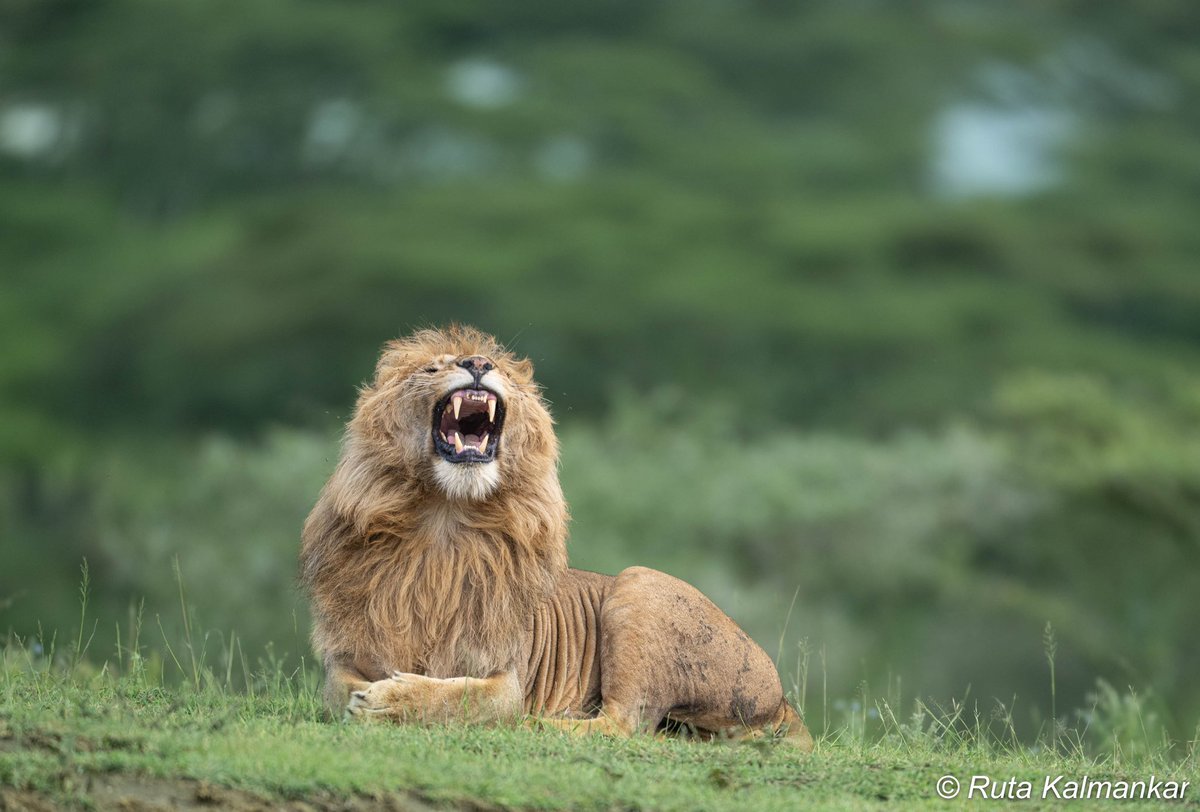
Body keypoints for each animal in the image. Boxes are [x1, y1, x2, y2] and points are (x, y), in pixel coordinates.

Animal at [296, 323, 811, 748]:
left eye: (500, 368)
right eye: (431, 367)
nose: (478, 363)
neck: (447, 519)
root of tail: (783, 700)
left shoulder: (507, 674)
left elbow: (464, 699)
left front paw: (388, 702)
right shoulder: (346, 655)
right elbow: (339, 690)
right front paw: (372, 697)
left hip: (638, 583)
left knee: (624, 723)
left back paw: (538, 722)